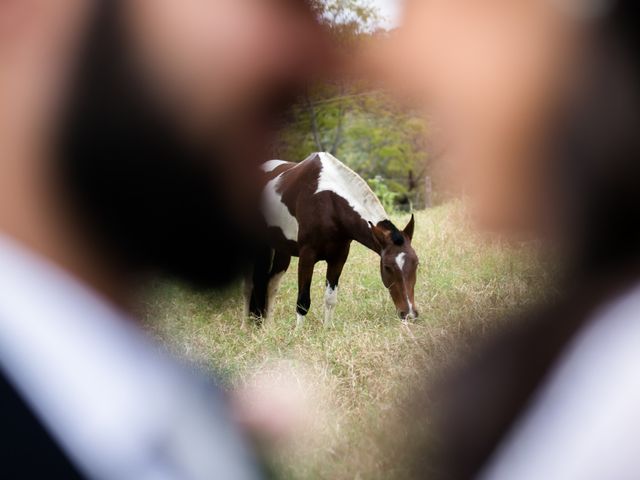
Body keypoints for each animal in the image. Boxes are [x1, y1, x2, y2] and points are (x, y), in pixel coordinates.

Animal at [246, 152, 420, 328]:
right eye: (387, 267)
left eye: (416, 264)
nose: (409, 314)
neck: (328, 202)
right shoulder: (307, 256)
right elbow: (303, 301)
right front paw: (298, 332)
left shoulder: (339, 257)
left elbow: (330, 299)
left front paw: (327, 329)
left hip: (282, 252)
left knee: (271, 285)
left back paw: (267, 327)